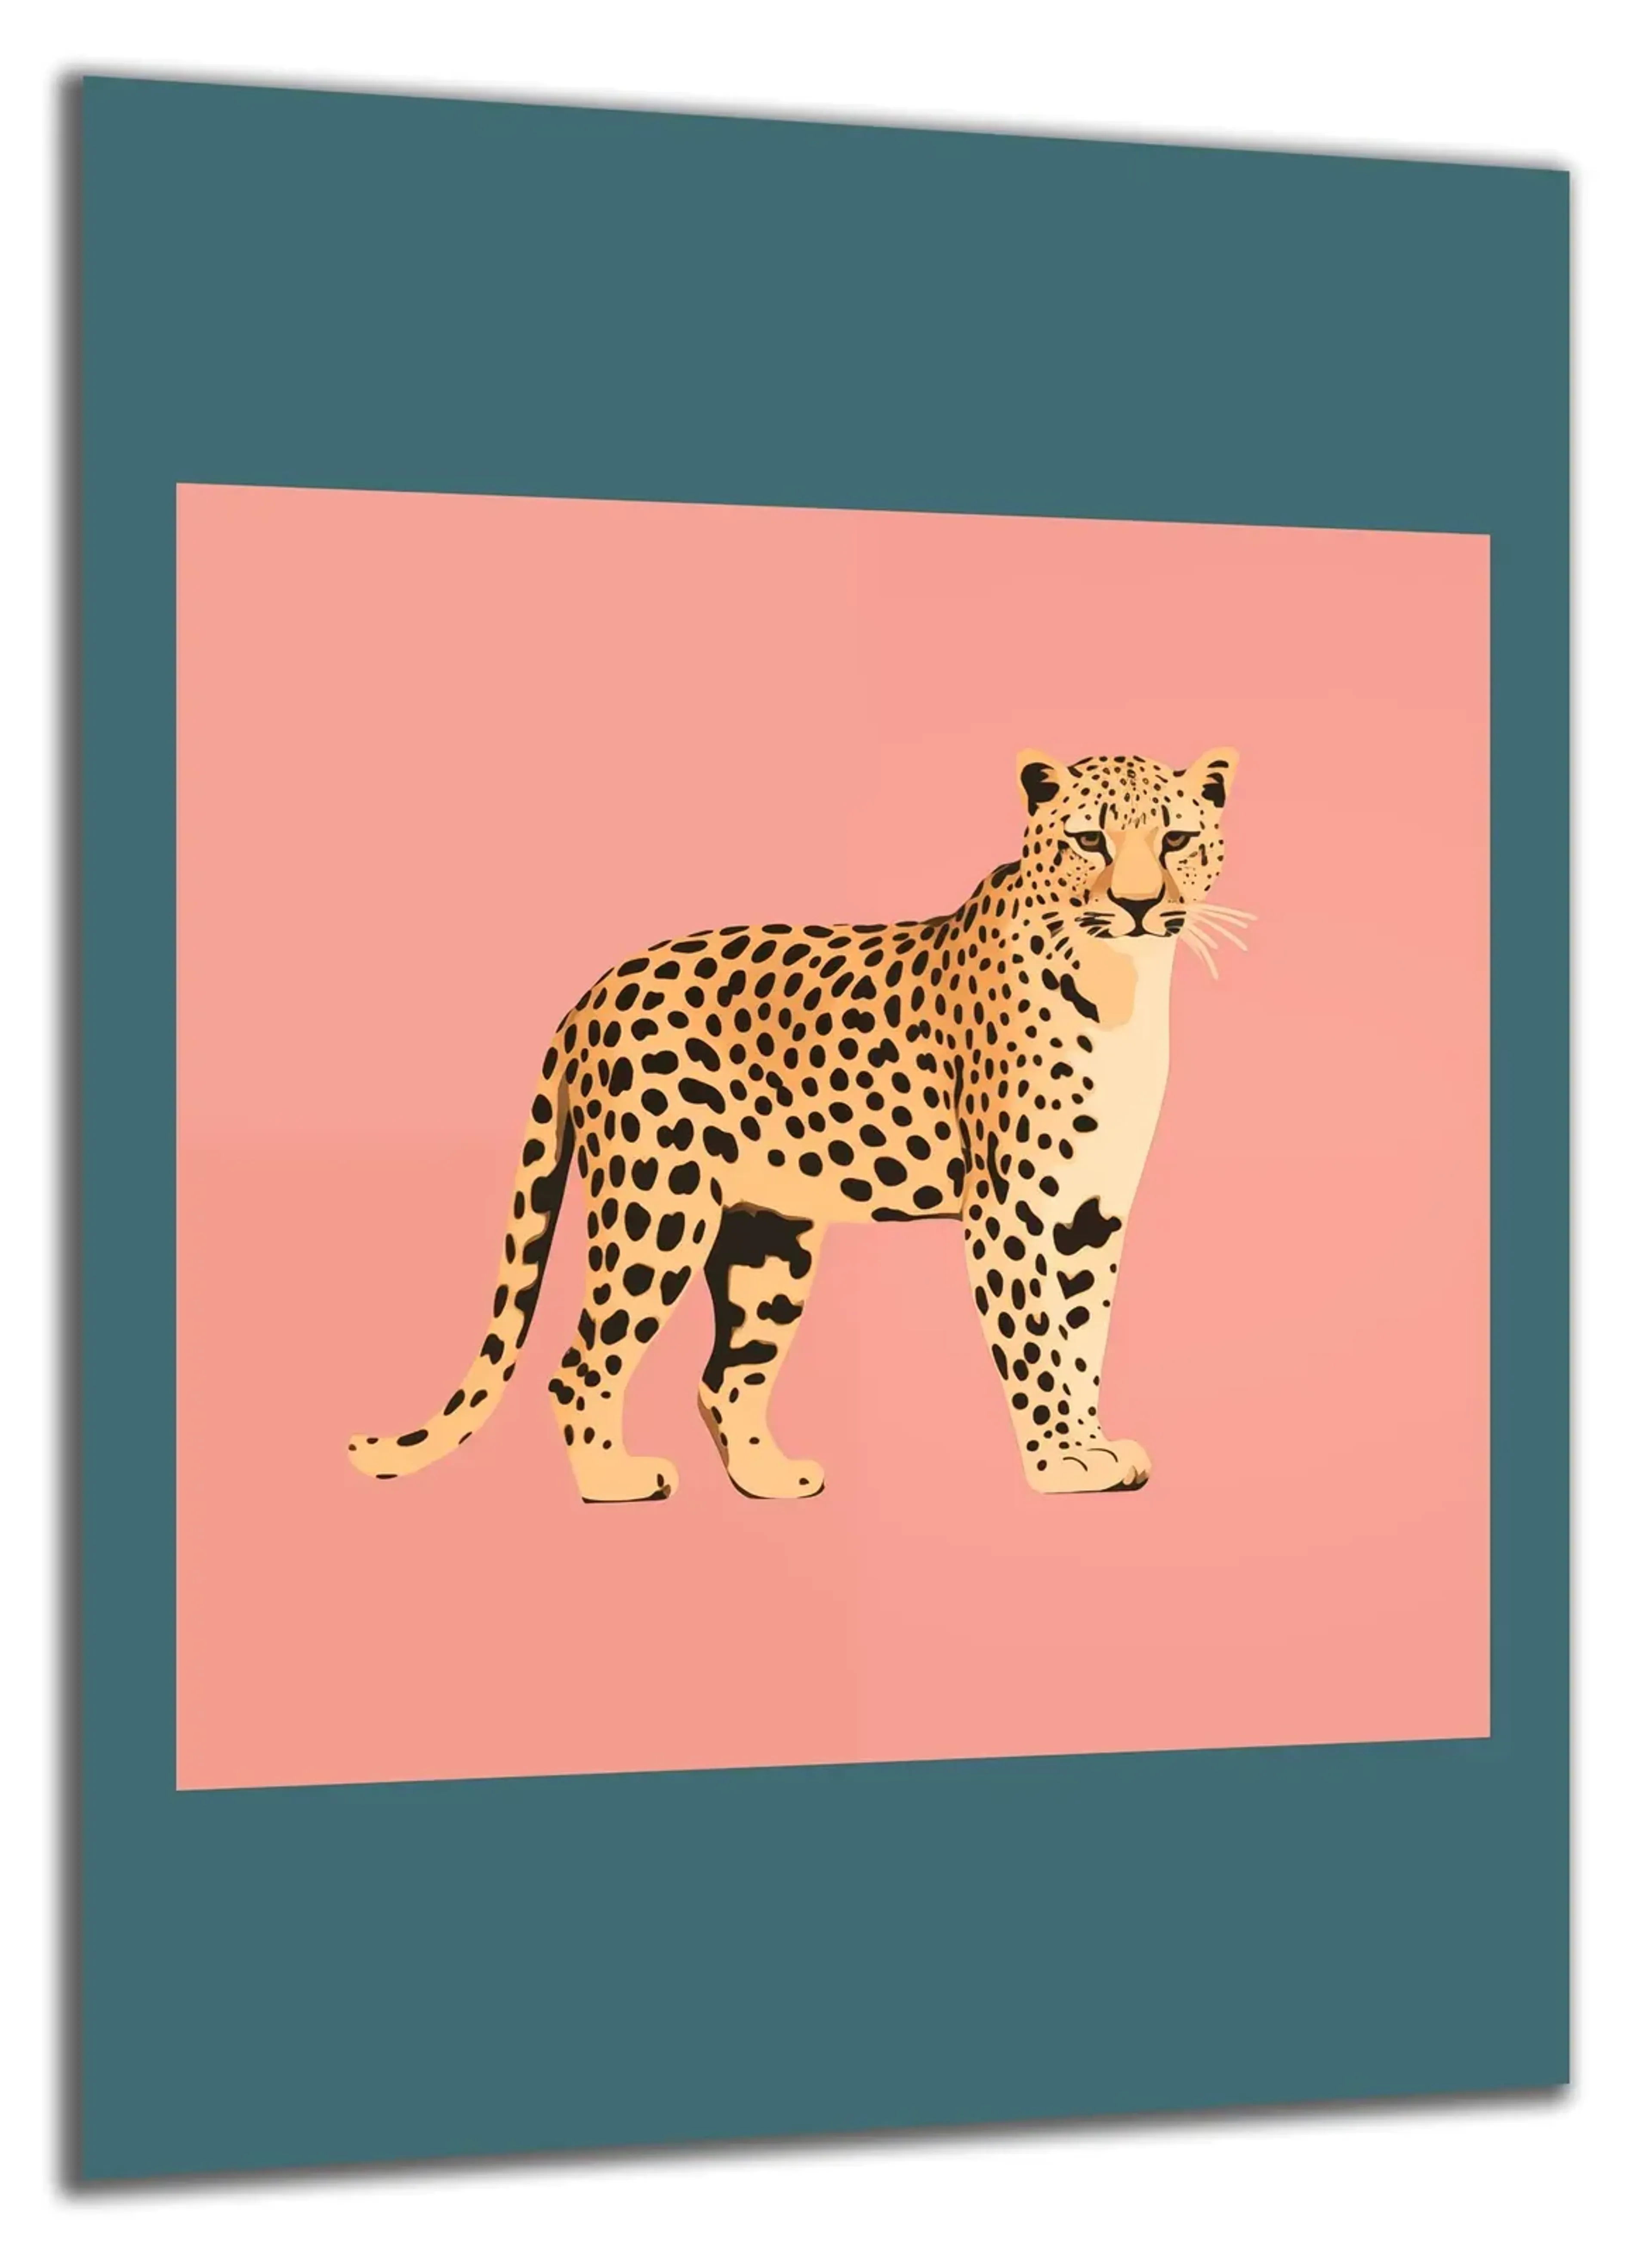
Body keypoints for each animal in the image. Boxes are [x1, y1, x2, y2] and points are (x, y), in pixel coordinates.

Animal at [348, 748, 1249, 1503]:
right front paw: (1062, 1461)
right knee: (580, 1365)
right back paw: (616, 1481)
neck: (1124, 983)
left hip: (766, 1235)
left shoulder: (1090, 1214)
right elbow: (1037, 1337)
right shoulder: (1012, 1209)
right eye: (1090, 840)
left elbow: (1085, 1336)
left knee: (726, 1376)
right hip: (656, 1205)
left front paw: (1092, 1441)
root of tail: (594, 992)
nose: (1138, 905)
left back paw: (771, 1480)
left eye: (1175, 838)